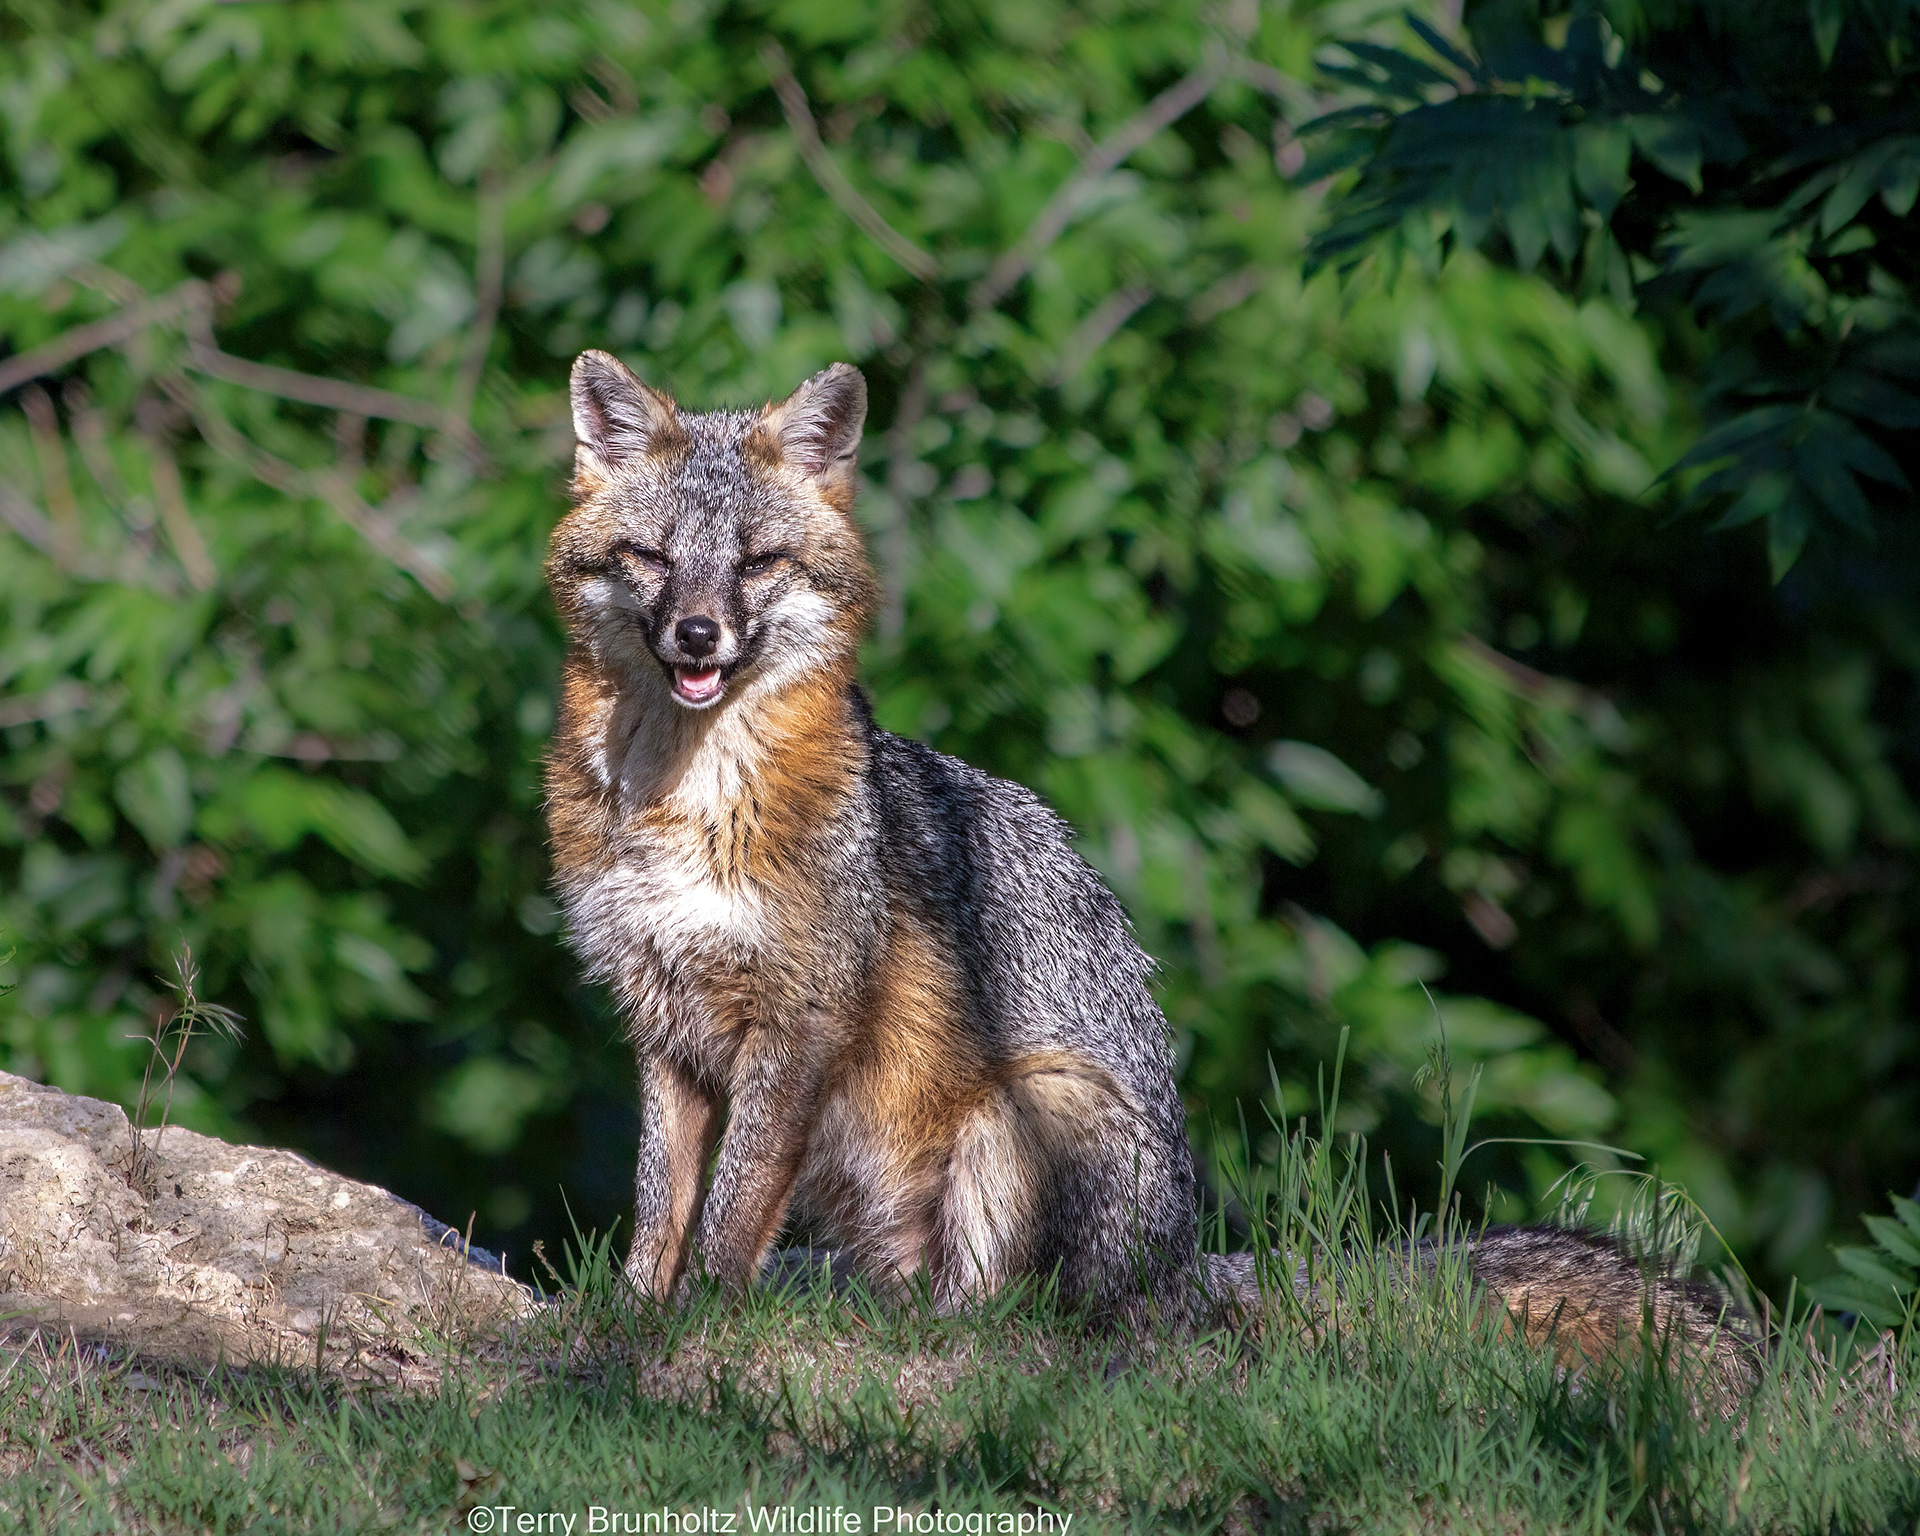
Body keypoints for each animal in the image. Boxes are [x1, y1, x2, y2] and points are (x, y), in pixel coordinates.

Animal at [542, 349, 1756, 1379]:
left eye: (757, 563)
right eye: (653, 559)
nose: (698, 635)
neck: (686, 804)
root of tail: (1177, 1263)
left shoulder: (799, 1022)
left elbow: (734, 1206)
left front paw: (700, 1318)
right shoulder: (661, 1022)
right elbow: (660, 1202)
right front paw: (631, 1317)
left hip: (1030, 1111)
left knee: (1012, 1325)